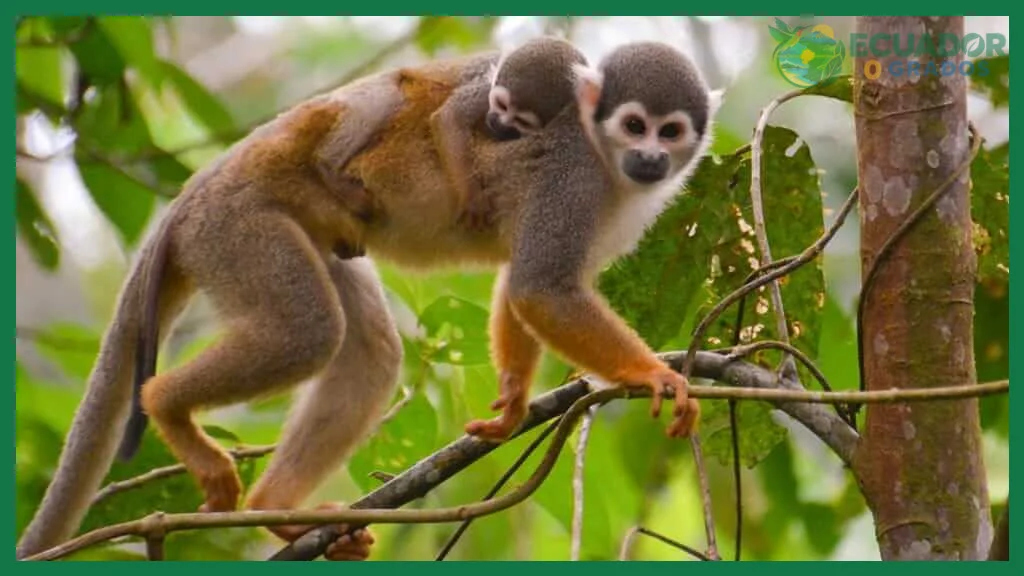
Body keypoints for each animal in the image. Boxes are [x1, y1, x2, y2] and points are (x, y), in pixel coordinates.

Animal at [16, 41, 719, 561]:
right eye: (634, 125)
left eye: (671, 131)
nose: (651, 158)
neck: (607, 164)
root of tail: (198, 188)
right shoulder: (571, 180)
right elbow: (540, 288)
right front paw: (654, 376)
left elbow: (522, 288)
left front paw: (513, 403)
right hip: (236, 226)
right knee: (307, 331)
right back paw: (166, 405)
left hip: (293, 234)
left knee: (369, 349)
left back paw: (283, 510)